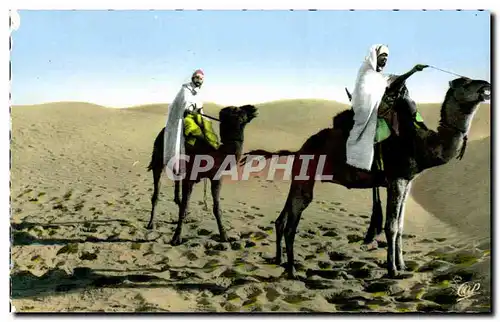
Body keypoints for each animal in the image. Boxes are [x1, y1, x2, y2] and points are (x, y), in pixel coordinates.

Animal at [146, 104, 258, 245]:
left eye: (244, 115)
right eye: (235, 112)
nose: (252, 109)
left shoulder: (216, 177)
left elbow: (216, 208)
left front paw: (224, 235)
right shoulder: (190, 177)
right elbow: (185, 205)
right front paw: (176, 237)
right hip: (158, 160)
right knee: (156, 192)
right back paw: (151, 223)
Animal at [240, 76, 490, 278]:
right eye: (465, 83)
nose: (486, 84)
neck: (421, 144)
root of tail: (298, 150)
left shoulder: (407, 182)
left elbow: (400, 225)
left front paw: (403, 265)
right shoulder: (396, 180)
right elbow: (391, 227)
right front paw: (392, 270)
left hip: (298, 178)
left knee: (282, 218)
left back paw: (280, 260)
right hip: (306, 176)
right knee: (292, 222)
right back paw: (292, 270)